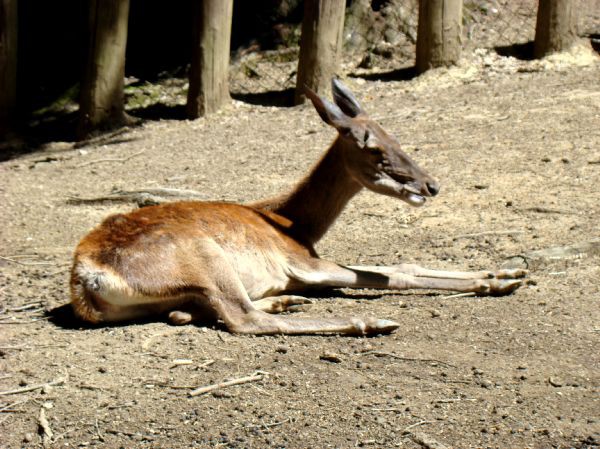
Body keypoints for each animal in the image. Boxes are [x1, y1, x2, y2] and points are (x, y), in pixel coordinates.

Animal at [70, 79, 528, 334]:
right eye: (374, 150)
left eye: (396, 137)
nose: (430, 185)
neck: (292, 222)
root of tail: (86, 278)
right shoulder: (302, 263)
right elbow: (389, 276)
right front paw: (500, 281)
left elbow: (400, 264)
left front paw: (508, 271)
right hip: (206, 258)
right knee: (244, 320)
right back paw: (372, 323)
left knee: (199, 312)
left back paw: (283, 301)